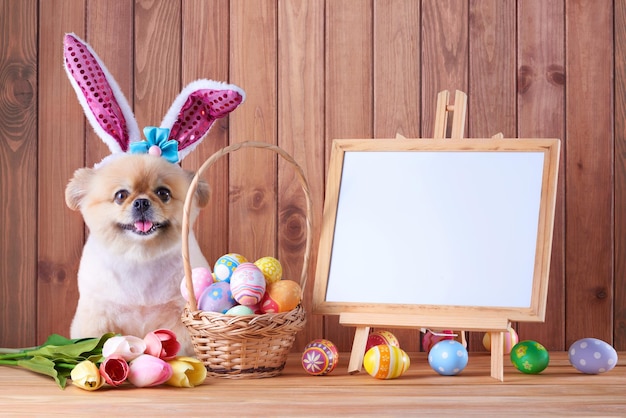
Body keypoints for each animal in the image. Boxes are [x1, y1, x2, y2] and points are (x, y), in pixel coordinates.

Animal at [62, 32, 244, 354]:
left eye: (164, 193)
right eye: (121, 195)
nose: (142, 202)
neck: (140, 262)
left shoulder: (181, 313)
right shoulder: (97, 313)